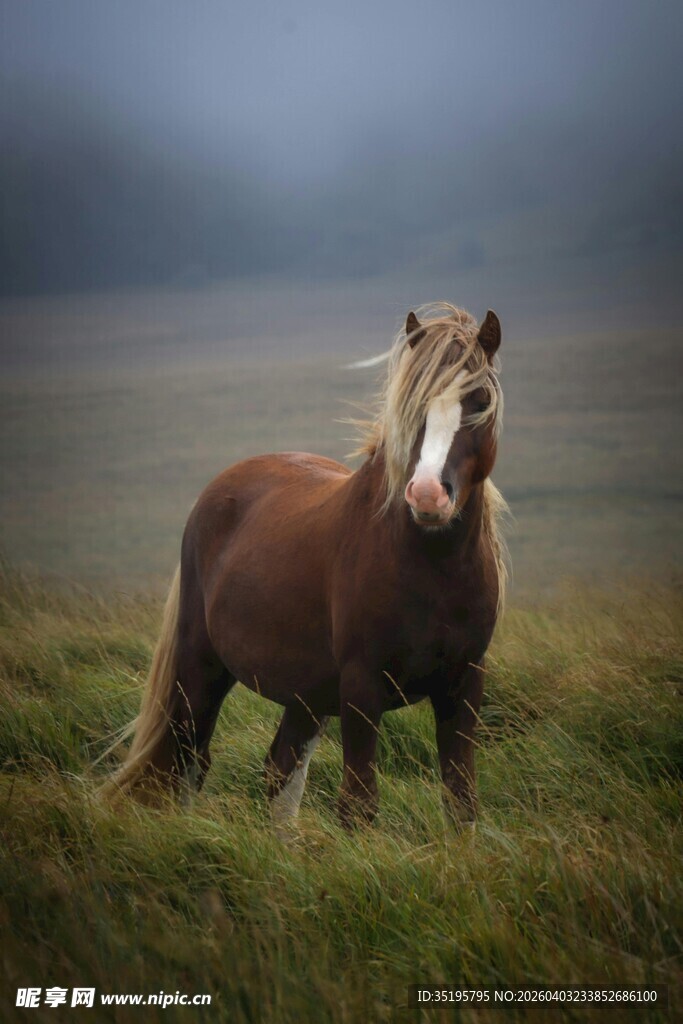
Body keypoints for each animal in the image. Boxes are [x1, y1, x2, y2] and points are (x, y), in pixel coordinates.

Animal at [107, 302, 507, 832]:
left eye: (479, 400)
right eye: (411, 404)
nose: (426, 495)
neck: (432, 572)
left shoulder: (464, 685)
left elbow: (462, 803)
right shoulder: (361, 687)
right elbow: (358, 805)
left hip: (307, 693)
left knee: (280, 771)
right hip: (201, 669)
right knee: (189, 760)